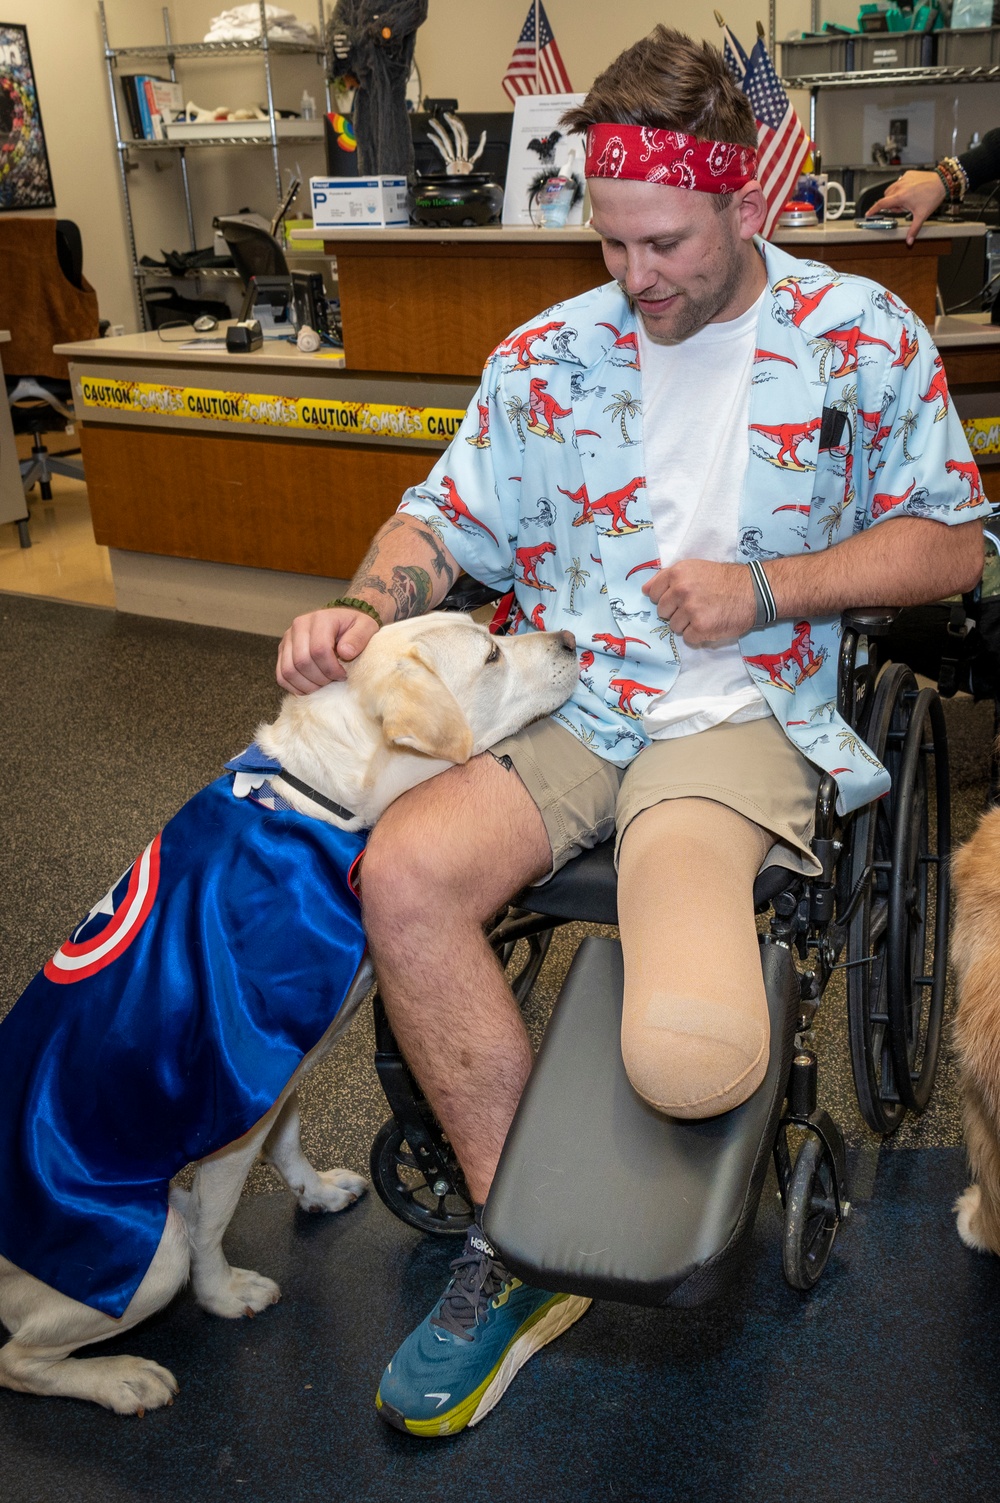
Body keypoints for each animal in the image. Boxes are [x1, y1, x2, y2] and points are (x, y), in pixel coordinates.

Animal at [0, 607, 577, 1406]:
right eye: (491, 653)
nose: (573, 642)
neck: (316, 799)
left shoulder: (287, 1060)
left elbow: (290, 1137)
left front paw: (315, 1191)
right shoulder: (233, 1097)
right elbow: (218, 1219)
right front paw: (223, 1295)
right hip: (146, 1258)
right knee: (22, 1357)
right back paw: (121, 1379)